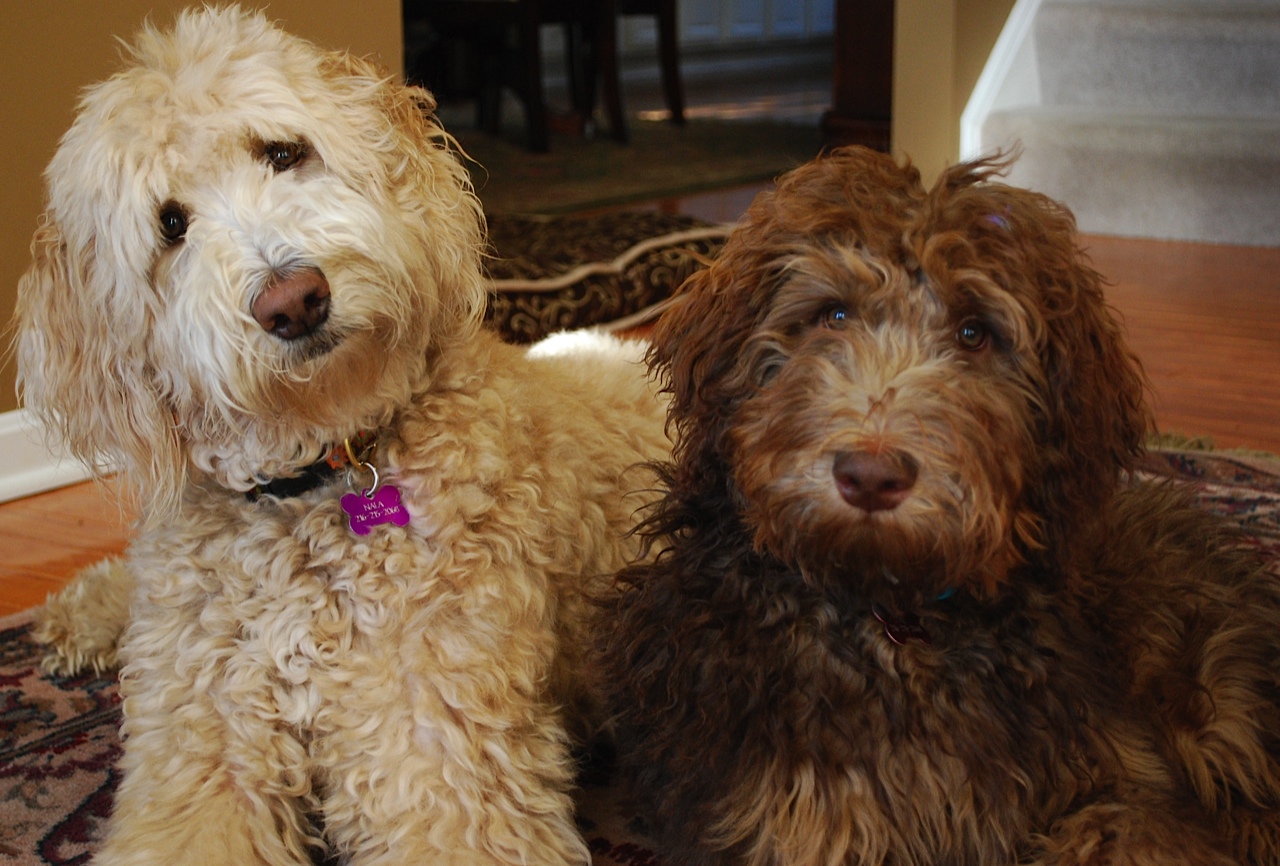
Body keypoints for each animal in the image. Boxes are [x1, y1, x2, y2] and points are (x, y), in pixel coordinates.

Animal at [15, 8, 665, 864]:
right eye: (170, 225)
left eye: (283, 152)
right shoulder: (199, 757)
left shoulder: (442, 762)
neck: (312, 481)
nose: (293, 299)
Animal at [599, 148, 1280, 864]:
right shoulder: (796, 820)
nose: (871, 476)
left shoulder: (1130, 782)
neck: (893, 622)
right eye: (832, 315)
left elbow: (1124, 827)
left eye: (975, 333)